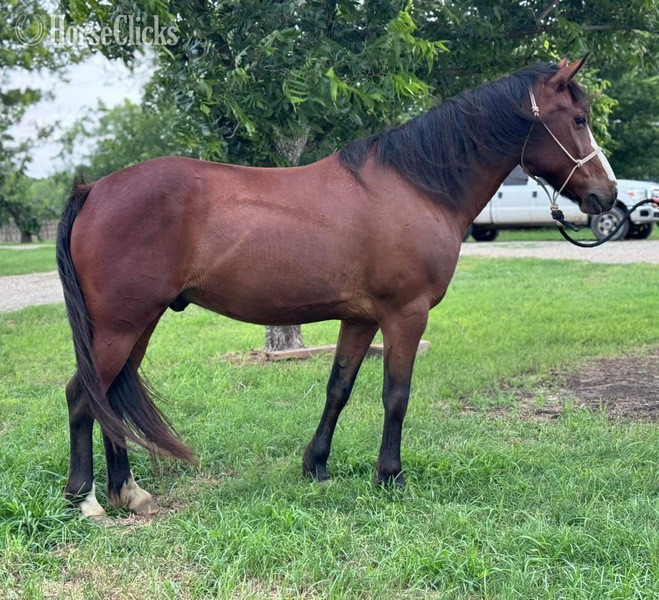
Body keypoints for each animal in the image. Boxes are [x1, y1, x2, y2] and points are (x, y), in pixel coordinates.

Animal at [56, 57, 617, 517]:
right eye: (579, 119)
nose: (608, 196)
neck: (414, 186)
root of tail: (94, 190)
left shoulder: (360, 317)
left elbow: (338, 389)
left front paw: (317, 465)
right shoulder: (405, 314)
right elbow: (396, 394)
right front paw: (390, 476)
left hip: (139, 323)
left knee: (110, 398)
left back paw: (128, 492)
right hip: (119, 326)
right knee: (83, 396)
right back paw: (85, 500)